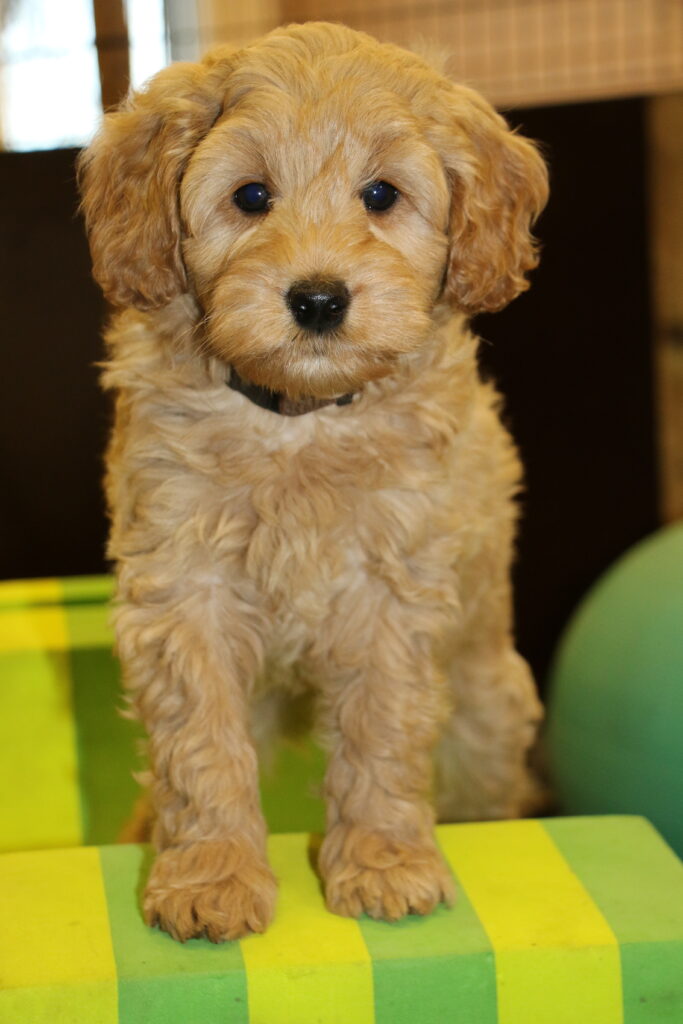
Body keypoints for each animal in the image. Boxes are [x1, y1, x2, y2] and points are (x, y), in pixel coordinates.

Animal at [78, 21, 548, 943]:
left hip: (484, 702)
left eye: (381, 194)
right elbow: (199, 743)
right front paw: (209, 877)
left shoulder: (392, 593)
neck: (297, 419)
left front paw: (384, 864)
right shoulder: (181, 587)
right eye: (252, 196)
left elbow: (380, 730)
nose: (319, 299)